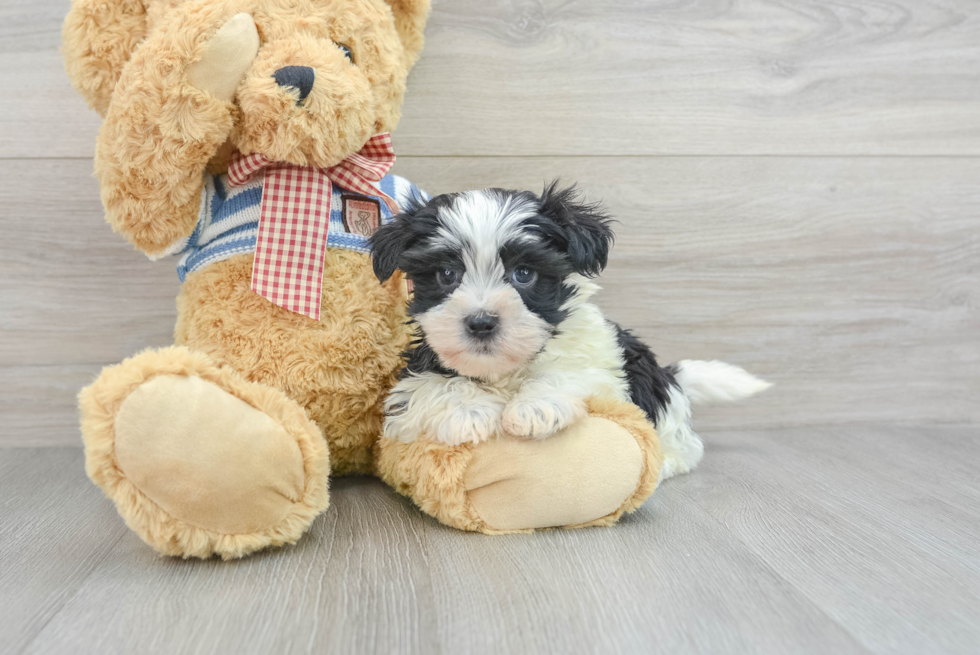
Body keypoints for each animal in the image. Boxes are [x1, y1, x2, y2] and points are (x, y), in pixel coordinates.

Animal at [372, 182, 768, 480]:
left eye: (524, 274)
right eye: (447, 274)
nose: (481, 322)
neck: (504, 370)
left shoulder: (602, 363)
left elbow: (567, 372)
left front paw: (535, 407)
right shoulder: (417, 368)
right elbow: (426, 386)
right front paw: (467, 411)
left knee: (685, 444)